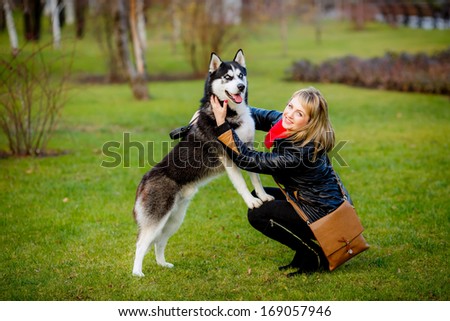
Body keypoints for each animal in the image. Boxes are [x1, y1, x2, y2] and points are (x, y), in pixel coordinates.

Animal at [132, 49, 272, 276]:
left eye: (240, 75)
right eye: (227, 77)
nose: (241, 87)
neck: (230, 113)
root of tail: (144, 180)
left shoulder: (247, 150)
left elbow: (256, 180)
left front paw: (263, 196)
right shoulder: (228, 157)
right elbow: (242, 184)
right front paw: (251, 201)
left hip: (174, 219)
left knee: (159, 242)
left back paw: (162, 264)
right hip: (157, 218)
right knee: (141, 243)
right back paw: (137, 273)